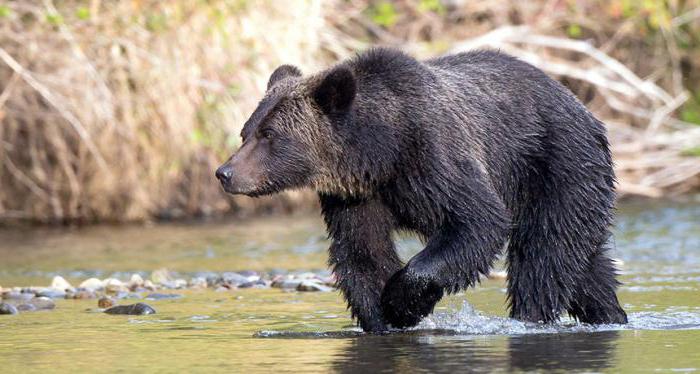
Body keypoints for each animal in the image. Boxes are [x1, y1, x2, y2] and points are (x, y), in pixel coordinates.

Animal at [215, 48, 628, 332]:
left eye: (270, 135)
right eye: (246, 131)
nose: (225, 172)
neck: (380, 153)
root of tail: (584, 107)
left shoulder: (435, 157)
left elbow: (479, 222)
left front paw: (402, 303)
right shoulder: (355, 196)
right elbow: (362, 252)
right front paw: (381, 316)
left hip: (557, 166)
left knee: (543, 255)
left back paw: (530, 316)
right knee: (584, 263)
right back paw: (610, 313)